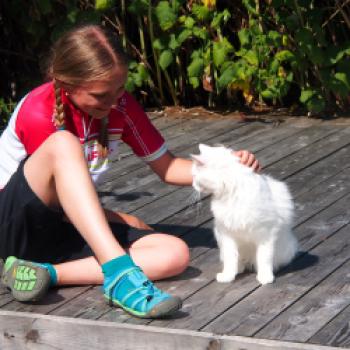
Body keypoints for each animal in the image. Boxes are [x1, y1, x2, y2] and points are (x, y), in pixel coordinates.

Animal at [191, 144, 298, 284]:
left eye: (194, 176)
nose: (192, 184)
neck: (231, 194)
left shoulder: (266, 235)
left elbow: (264, 258)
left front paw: (265, 277)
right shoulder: (227, 235)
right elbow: (230, 259)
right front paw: (227, 276)